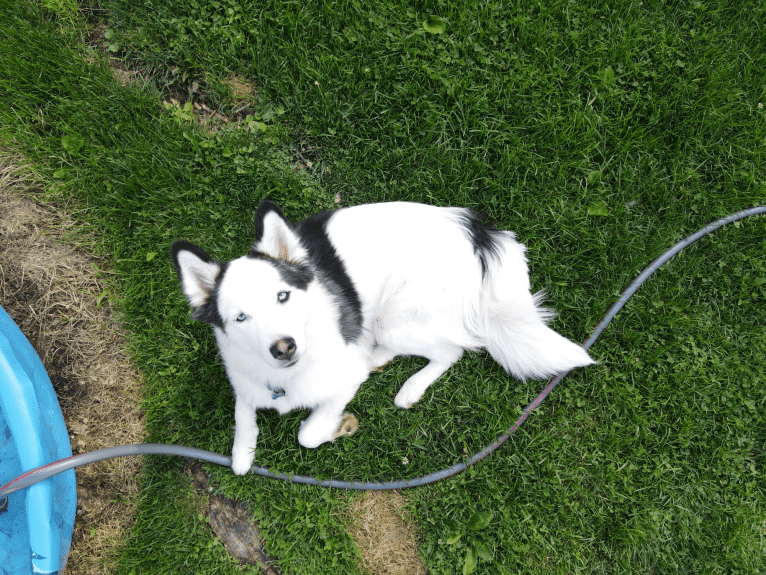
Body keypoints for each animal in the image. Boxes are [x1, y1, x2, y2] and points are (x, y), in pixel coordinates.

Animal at [171, 200, 596, 474]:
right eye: (240, 317)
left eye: (283, 296)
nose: (284, 347)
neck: (286, 378)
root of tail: (474, 229)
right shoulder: (243, 378)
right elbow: (243, 415)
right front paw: (243, 452)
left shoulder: (344, 379)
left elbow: (307, 433)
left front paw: (336, 427)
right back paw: (378, 355)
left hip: (397, 316)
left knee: (452, 350)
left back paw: (410, 386)